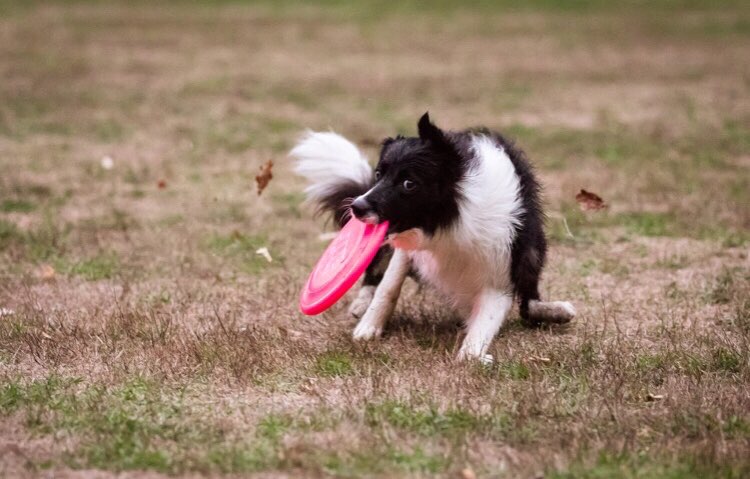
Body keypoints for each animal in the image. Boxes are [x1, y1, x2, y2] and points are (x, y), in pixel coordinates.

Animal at [290, 112, 572, 362]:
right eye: (379, 174)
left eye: (409, 183)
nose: (356, 207)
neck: (448, 221)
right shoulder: (407, 246)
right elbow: (388, 288)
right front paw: (368, 328)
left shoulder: (500, 272)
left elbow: (483, 332)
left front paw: (473, 354)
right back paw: (362, 303)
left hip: (532, 251)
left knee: (529, 302)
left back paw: (556, 310)